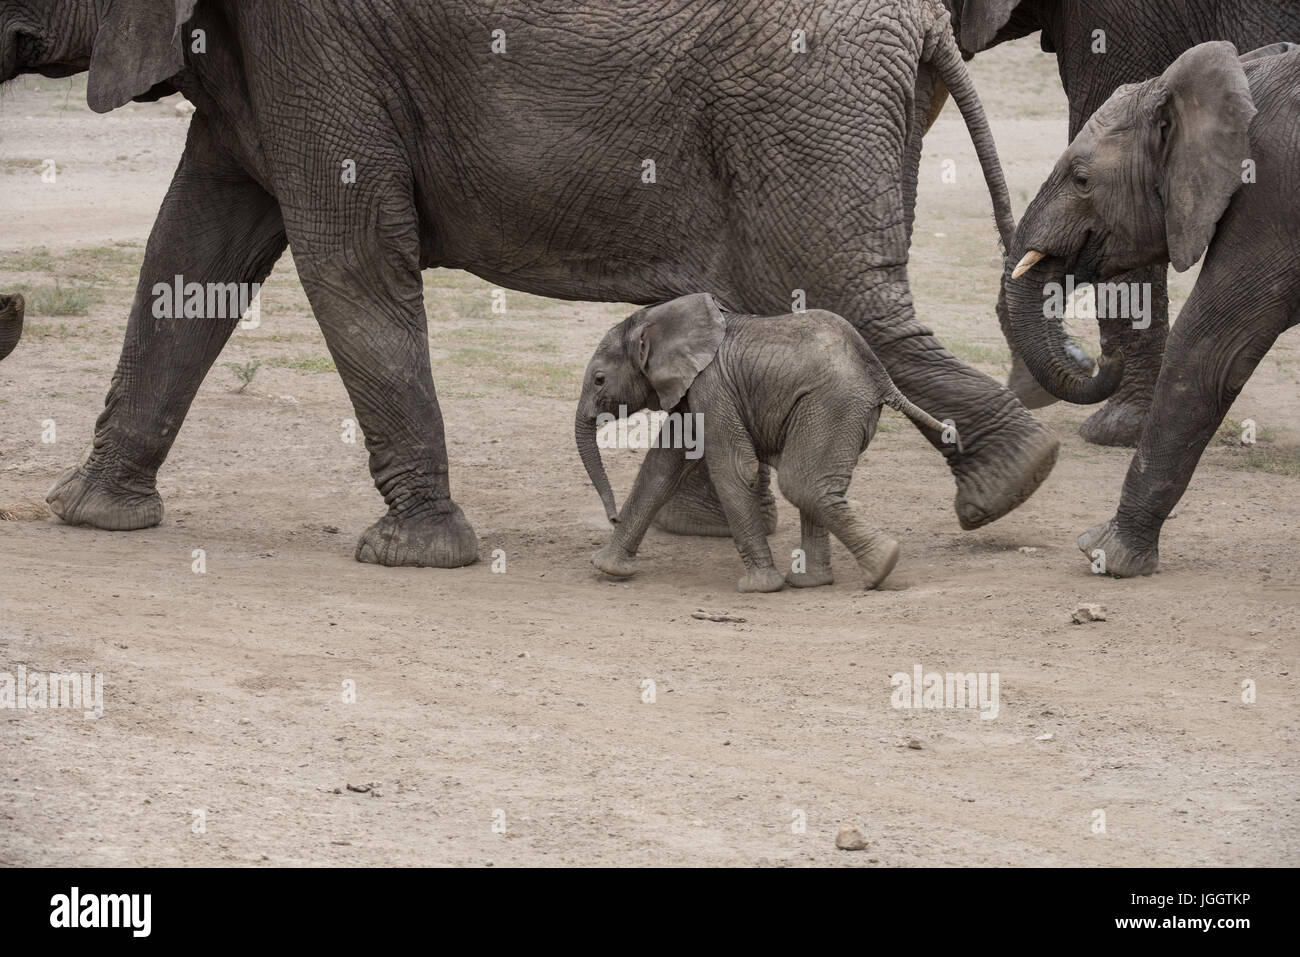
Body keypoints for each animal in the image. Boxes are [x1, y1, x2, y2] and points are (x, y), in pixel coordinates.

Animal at [576, 294, 955, 592]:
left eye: (599, 380)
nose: (611, 517)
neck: (658, 319)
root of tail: (880, 376)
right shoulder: (691, 392)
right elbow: (661, 467)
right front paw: (607, 568)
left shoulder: (712, 386)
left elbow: (733, 468)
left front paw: (759, 587)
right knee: (814, 485)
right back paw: (817, 581)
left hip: (831, 404)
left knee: (802, 483)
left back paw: (882, 565)